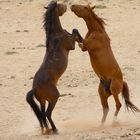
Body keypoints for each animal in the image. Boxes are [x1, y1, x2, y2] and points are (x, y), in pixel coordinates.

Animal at [25, 1, 81, 135]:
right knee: (47, 113)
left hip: (42, 101)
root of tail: (34, 88)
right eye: (59, 4)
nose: (67, 6)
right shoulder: (71, 45)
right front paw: (82, 40)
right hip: (54, 98)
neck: (56, 35)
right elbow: (74, 30)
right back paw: (54, 129)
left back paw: (46, 129)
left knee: (42, 114)